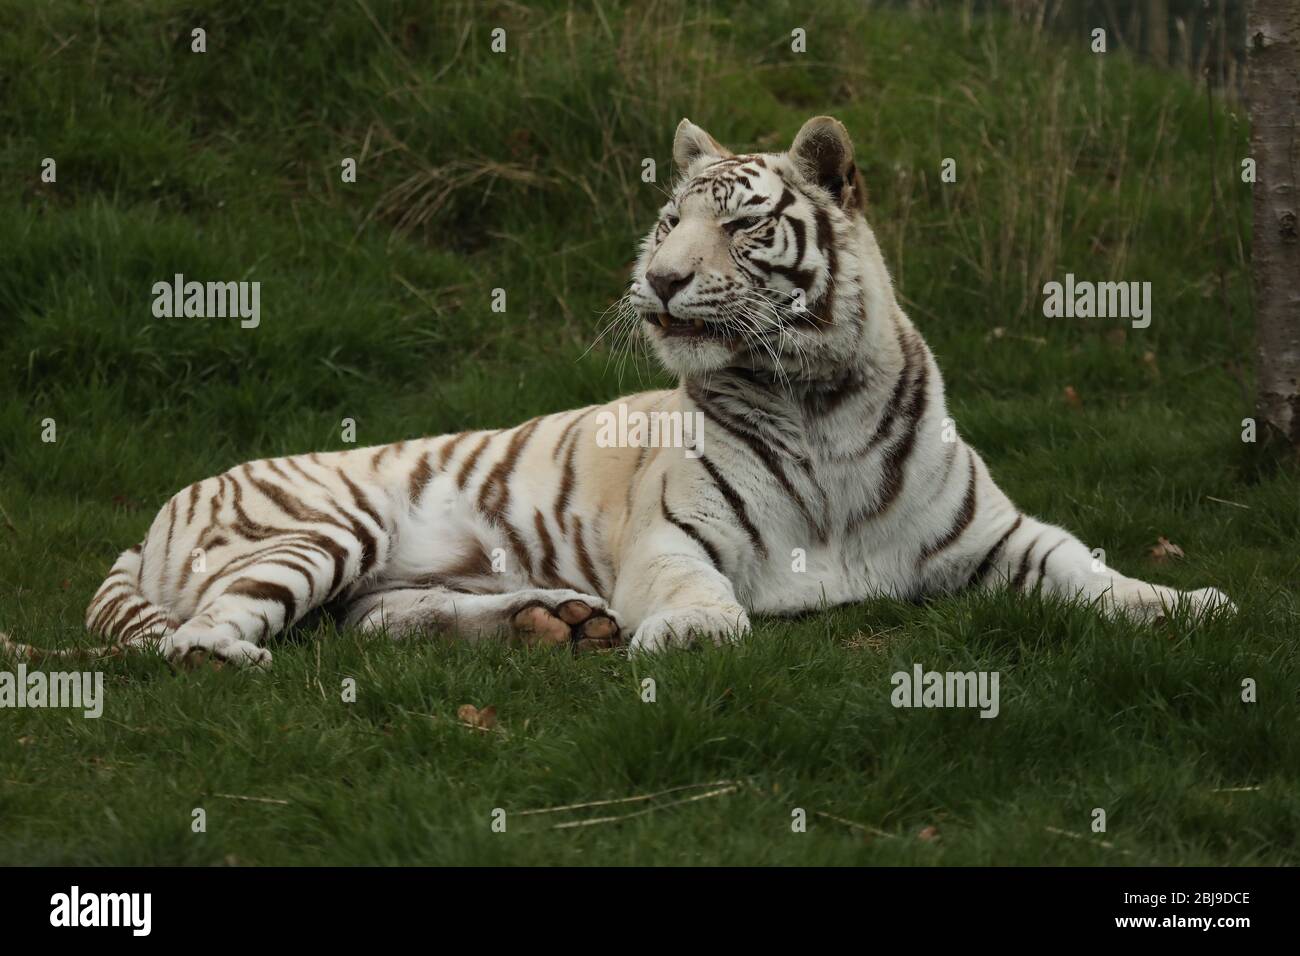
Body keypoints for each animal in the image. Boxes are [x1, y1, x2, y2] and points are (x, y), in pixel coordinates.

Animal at [0, 113, 1232, 665]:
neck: (820, 401)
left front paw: (1188, 603)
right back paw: (237, 652)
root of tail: (158, 509)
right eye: (666, 219)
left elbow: (1087, 567)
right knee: (195, 635)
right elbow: (689, 584)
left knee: (378, 618)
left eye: (739, 223)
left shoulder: (996, 534)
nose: (659, 279)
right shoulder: (674, 534)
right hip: (322, 525)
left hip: (386, 575)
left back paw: (554, 618)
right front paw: (695, 632)